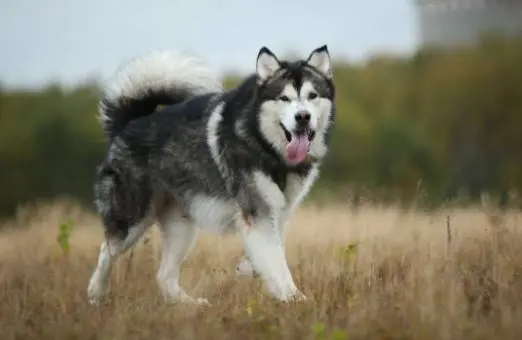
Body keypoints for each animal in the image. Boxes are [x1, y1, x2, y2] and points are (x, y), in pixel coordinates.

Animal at [86, 45, 334, 306]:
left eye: (312, 96)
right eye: (284, 98)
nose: (302, 117)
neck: (265, 146)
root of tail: (127, 124)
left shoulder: (278, 213)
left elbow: (270, 253)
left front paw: (249, 268)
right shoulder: (258, 214)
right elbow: (277, 262)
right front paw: (295, 298)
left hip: (182, 227)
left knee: (164, 275)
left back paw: (189, 305)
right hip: (132, 220)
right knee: (107, 251)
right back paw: (96, 294)